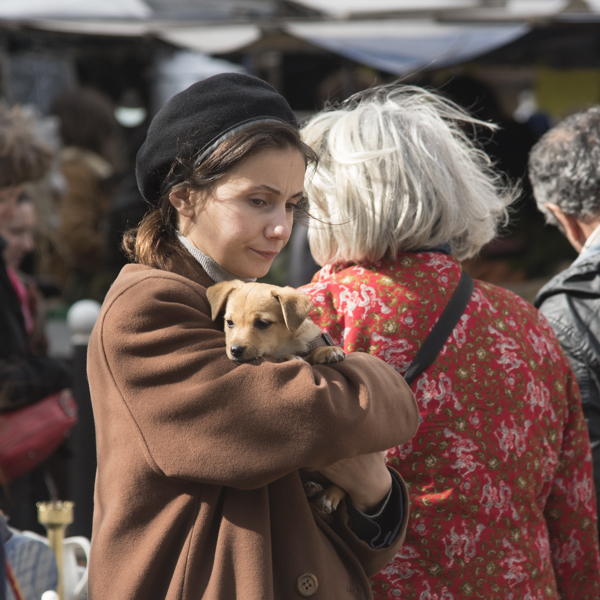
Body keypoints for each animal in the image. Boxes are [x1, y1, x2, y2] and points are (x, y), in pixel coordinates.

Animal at [206, 279, 347, 514]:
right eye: (229, 323)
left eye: (262, 323)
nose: (235, 350)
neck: (287, 344)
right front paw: (291, 358)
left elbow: (313, 352)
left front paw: (329, 351)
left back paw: (328, 495)